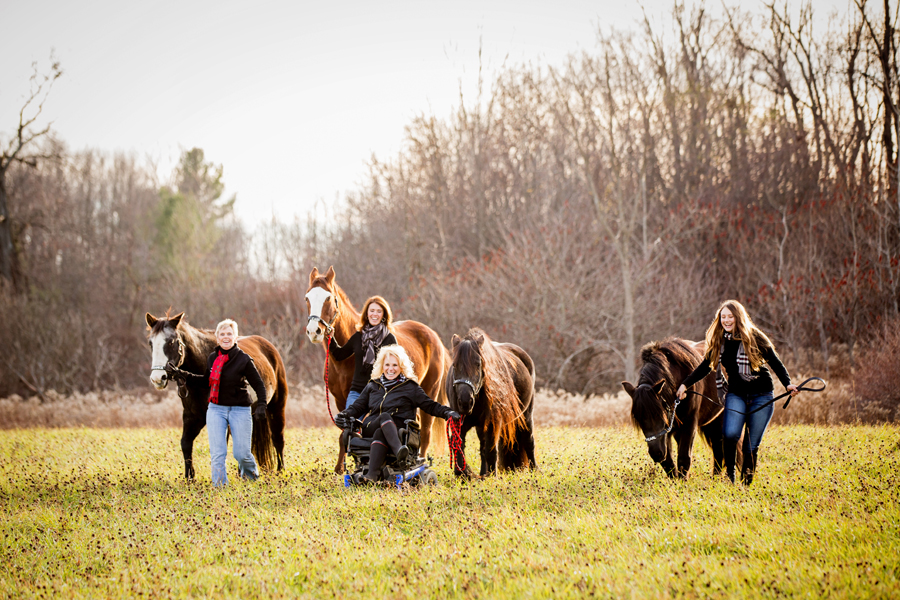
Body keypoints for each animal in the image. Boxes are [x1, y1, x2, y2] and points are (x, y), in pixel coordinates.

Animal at [146, 312, 290, 479]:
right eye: (151, 343)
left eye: (171, 342)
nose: (158, 378)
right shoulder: (192, 417)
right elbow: (186, 443)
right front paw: (189, 478)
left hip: (276, 407)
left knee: (278, 438)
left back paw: (280, 471)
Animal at [304, 266, 450, 474]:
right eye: (307, 298)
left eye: (328, 298)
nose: (313, 331)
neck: (346, 362)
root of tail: (433, 335)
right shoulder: (342, 400)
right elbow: (344, 432)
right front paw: (340, 468)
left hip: (430, 390)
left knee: (426, 430)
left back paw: (419, 462)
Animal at [447, 328, 537, 477]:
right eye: (454, 365)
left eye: (478, 364)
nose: (465, 401)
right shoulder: (459, 423)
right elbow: (459, 448)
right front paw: (462, 476)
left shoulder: (493, 423)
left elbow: (491, 452)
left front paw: (492, 476)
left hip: (526, 416)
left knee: (528, 441)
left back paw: (534, 470)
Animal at [622, 337, 732, 479]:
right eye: (638, 417)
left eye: (658, 414)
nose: (656, 454)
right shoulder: (668, 432)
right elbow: (668, 463)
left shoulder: (689, 425)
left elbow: (684, 458)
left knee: (720, 448)